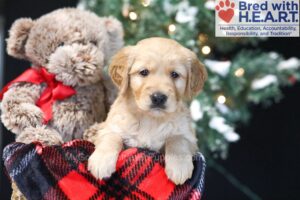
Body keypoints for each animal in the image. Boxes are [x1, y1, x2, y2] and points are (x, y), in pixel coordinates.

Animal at [86, 37, 206, 184]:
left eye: (174, 74)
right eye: (144, 72)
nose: (158, 97)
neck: (150, 119)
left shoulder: (190, 138)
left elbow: (177, 139)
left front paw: (179, 166)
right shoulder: (111, 126)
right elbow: (111, 137)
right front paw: (101, 161)